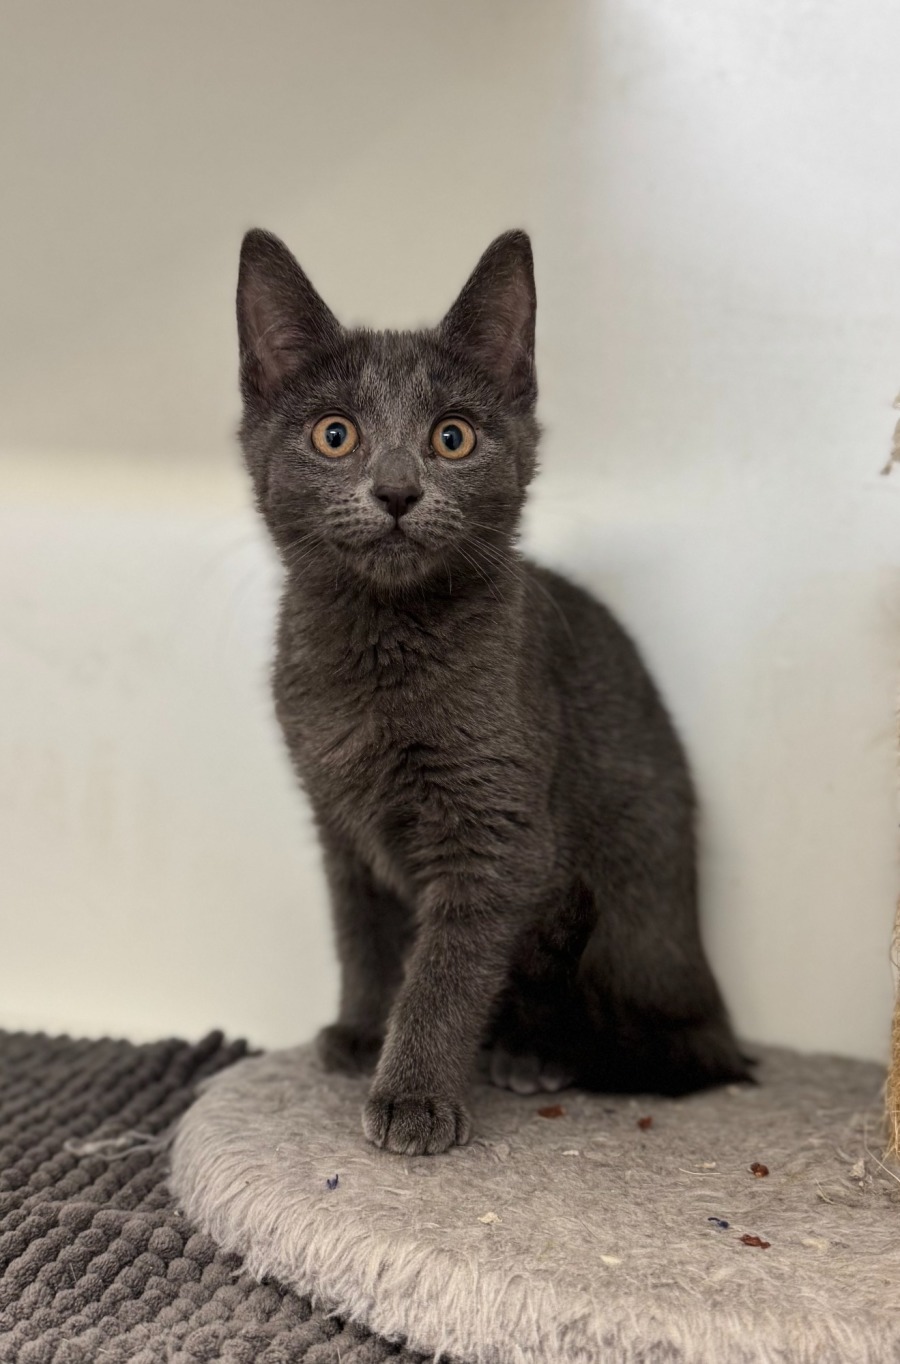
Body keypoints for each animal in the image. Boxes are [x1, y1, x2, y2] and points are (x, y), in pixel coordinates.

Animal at [236, 227, 750, 1156]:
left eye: (452, 438)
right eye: (334, 434)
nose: (397, 491)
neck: (379, 655)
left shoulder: (497, 830)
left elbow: (445, 968)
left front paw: (412, 1094)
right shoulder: (337, 822)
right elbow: (364, 934)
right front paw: (362, 1029)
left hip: (633, 907)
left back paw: (533, 1053)